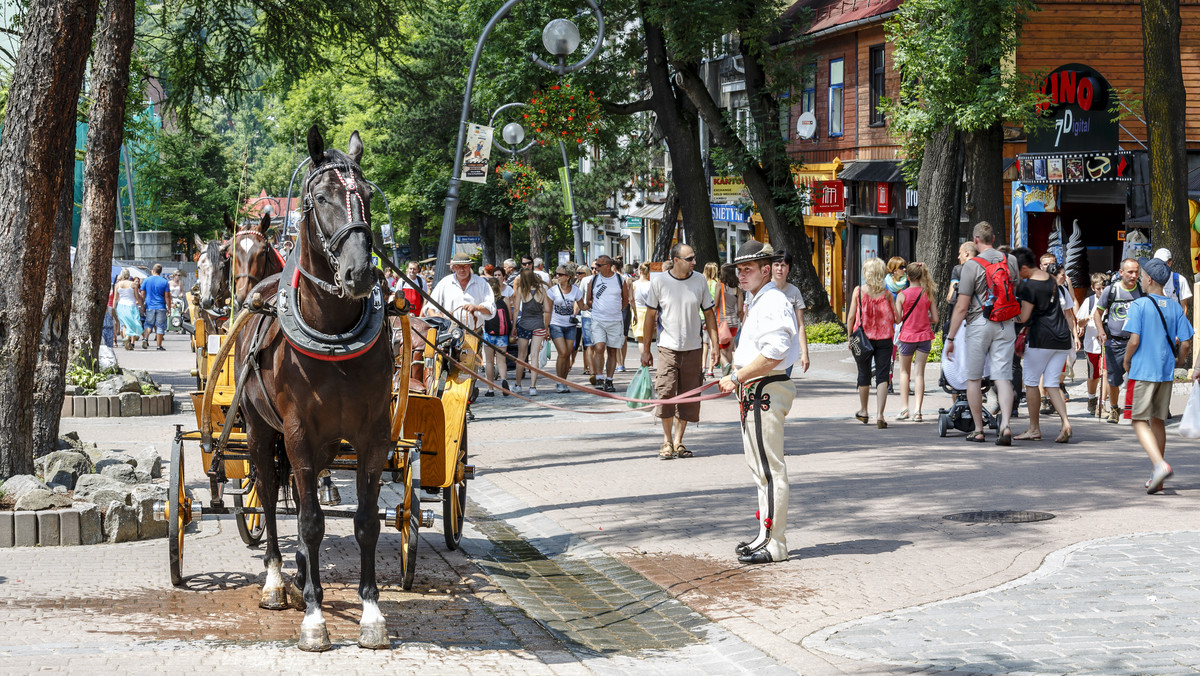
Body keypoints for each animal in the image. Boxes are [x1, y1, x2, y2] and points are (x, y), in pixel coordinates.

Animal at [237, 125, 393, 648]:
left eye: (367, 196)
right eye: (321, 197)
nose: (360, 272)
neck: (333, 333)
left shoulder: (373, 435)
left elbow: (366, 522)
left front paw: (371, 613)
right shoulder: (298, 433)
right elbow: (307, 522)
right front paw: (314, 617)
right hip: (260, 430)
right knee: (268, 492)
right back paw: (276, 580)